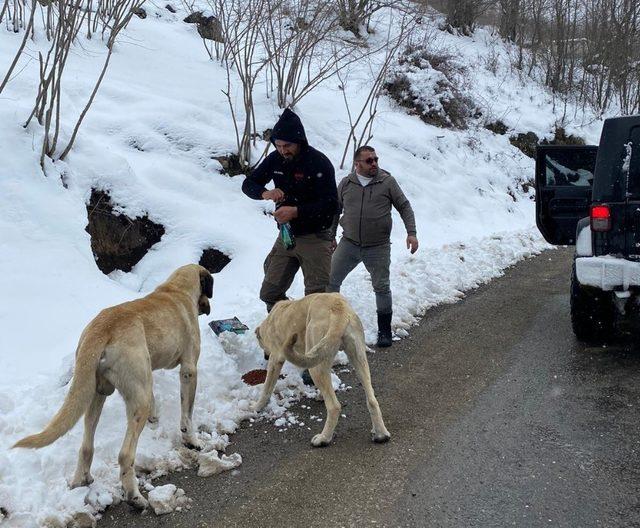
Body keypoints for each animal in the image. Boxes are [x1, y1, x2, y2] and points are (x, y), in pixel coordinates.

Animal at [13, 266, 214, 510]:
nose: (209, 308)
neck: (176, 289)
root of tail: (100, 329)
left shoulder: (146, 374)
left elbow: (154, 395)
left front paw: (156, 418)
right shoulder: (189, 370)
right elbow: (187, 414)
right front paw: (192, 441)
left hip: (97, 392)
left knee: (86, 445)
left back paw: (80, 480)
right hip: (135, 401)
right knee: (125, 454)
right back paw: (135, 497)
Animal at [255, 292, 390, 446]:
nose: (265, 356)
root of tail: (339, 310)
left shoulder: (275, 359)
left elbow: (266, 388)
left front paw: (256, 407)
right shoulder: (322, 355)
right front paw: (320, 395)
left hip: (315, 364)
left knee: (334, 407)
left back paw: (323, 438)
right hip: (358, 358)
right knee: (372, 400)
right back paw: (381, 434)